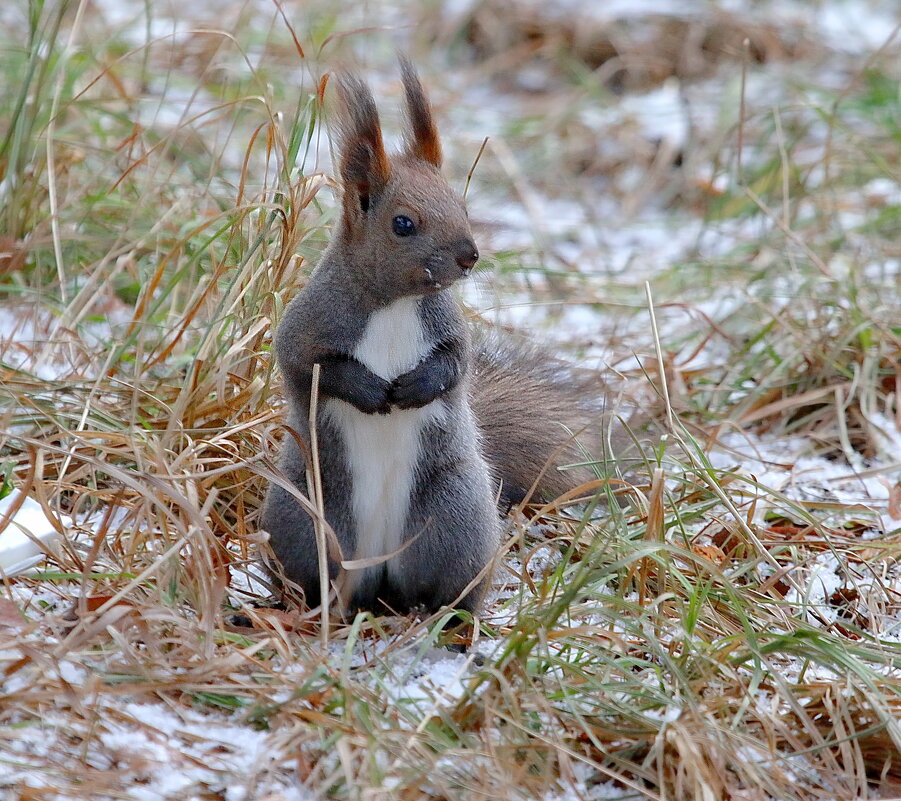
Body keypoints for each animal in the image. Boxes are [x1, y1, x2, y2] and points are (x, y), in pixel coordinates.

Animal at [264, 59, 608, 616]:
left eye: (462, 207)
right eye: (403, 224)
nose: (470, 255)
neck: (396, 303)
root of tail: (378, 572)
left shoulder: (448, 328)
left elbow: (456, 364)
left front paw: (415, 387)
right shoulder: (309, 322)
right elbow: (305, 362)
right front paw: (370, 390)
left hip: (455, 515)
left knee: (444, 586)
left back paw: (451, 619)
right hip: (305, 518)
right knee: (315, 573)